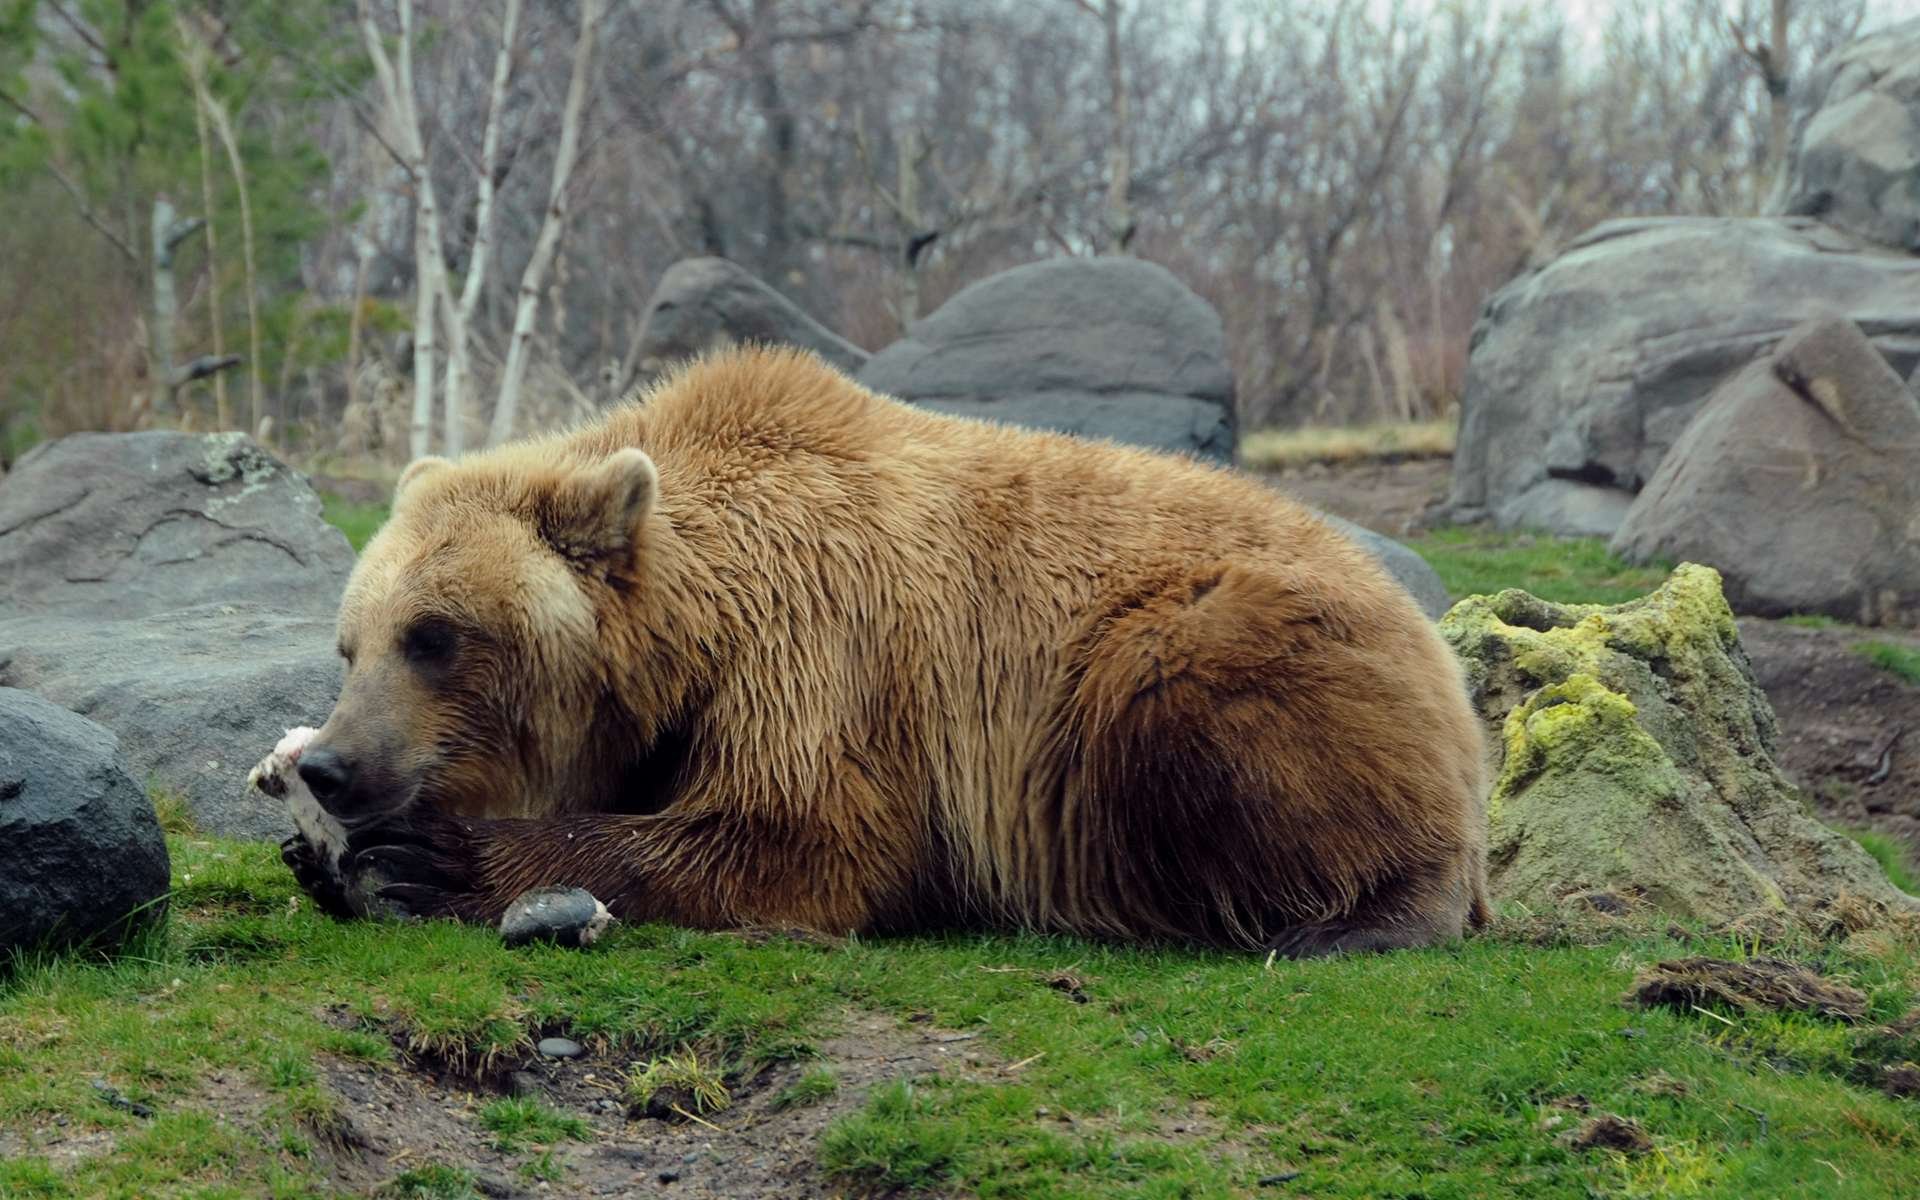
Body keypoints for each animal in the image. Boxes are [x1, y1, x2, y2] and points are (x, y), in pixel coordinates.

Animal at [285, 345, 1490, 956]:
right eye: (351, 644)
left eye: (435, 637)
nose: (331, 766)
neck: (690, 637)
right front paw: (322, 858)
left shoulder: (822, 647)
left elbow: (801, 838)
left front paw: (432, 859)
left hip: (1204, 653)